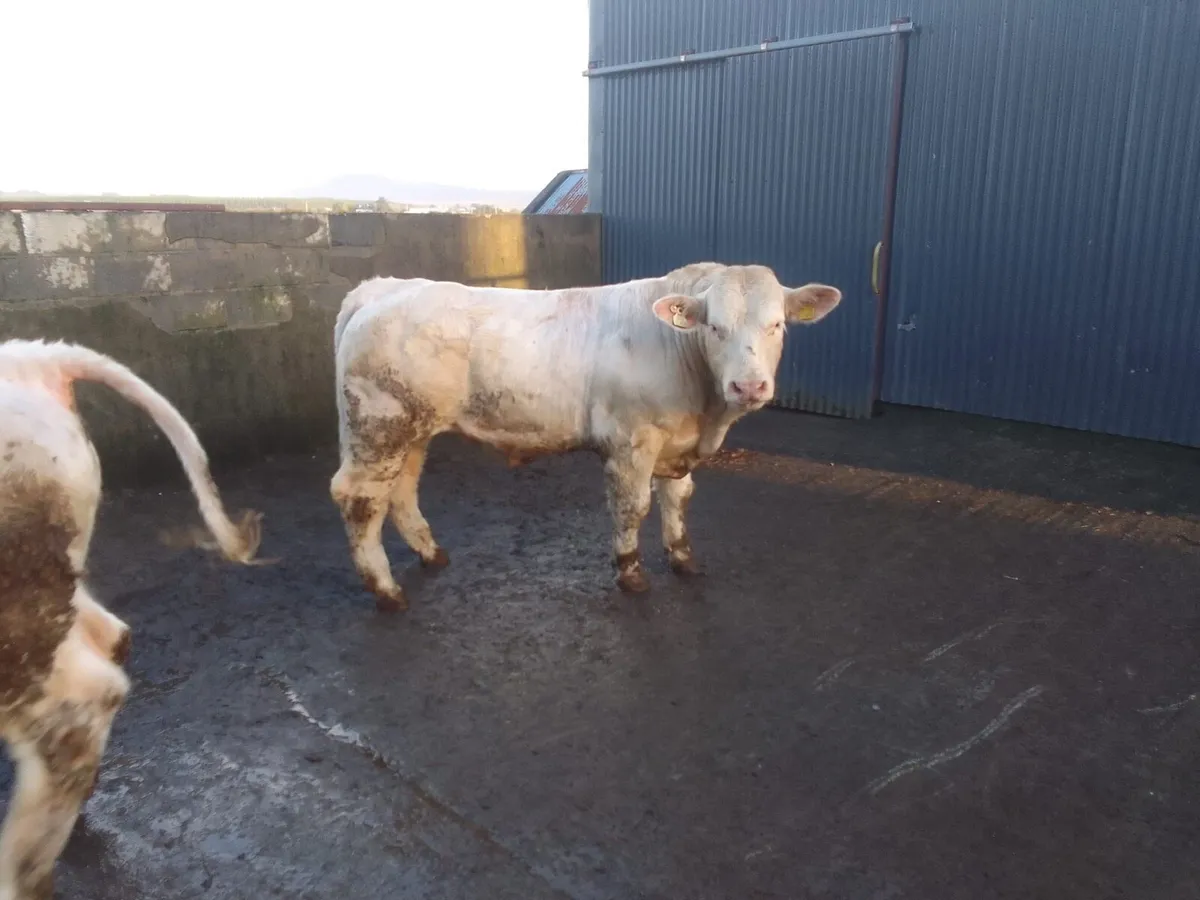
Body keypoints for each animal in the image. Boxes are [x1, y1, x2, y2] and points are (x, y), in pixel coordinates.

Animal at [331, 262, 842, 612]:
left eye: (777, 324)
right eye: (715, 327)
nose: (749, 386)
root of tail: (383, 287)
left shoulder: (676, 444)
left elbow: (677, 501)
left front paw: (683, 560)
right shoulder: (631, 441)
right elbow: (633, 508)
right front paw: (630, 574)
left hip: (411, 430)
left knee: (401, 490)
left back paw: (431, 553)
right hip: (378, 424)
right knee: (360, 498)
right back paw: (386, 590)